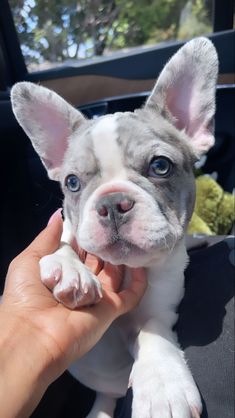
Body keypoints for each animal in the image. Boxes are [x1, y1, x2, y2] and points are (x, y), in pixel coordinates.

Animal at [11, 36, 218, 418]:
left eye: (161, 166)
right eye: (72, 183)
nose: (112, 203)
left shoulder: (160, 307)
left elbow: (152, 331)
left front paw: (163, 384)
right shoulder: (67, 233)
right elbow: (65, 243)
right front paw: (70, 269)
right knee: (105, 398)